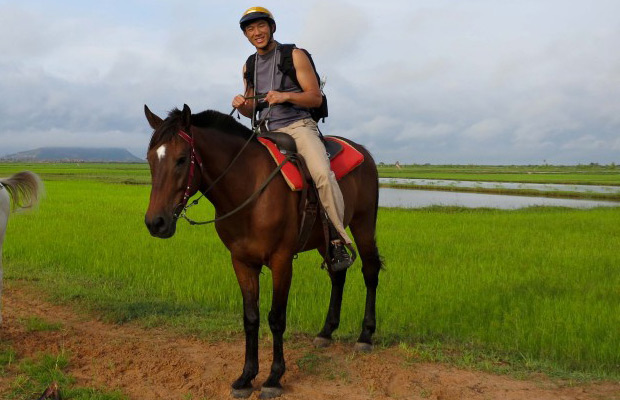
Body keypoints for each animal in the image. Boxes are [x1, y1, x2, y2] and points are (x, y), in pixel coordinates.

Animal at [144, 104, 382, 398]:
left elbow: (276, 318)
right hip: (326, 238)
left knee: (370, 271)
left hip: (363, 223)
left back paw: (365, 335)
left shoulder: (281, 261)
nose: (156, 222)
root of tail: (364, 152)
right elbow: (251, 318)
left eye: (181, 159)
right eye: (150, 160)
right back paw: (326, 332)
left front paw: (273, 378)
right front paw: (246, 377)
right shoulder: (242, 262)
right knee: (338, 274)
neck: (249, 190)